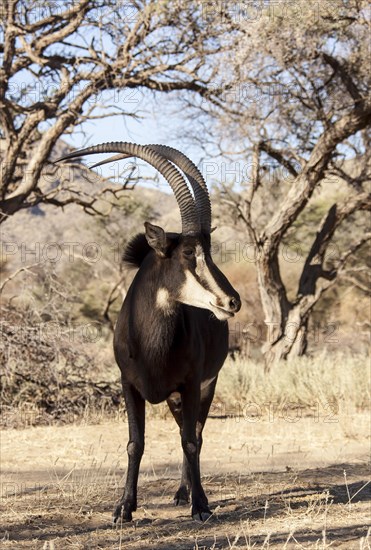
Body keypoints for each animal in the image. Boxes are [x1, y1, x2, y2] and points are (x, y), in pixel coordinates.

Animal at [56, 144, 241, 524]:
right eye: (188, 253)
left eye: (209, 252)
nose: (233, 301)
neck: (149, 344)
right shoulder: (129, 385)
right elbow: (135, 443)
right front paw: (124, 508)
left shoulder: (192, 384)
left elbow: (190, 441)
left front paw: (201, 506)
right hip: (173, 398)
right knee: (183, 431)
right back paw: (182, 491)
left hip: (205, 386)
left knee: (194, 434)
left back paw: (188, 493)